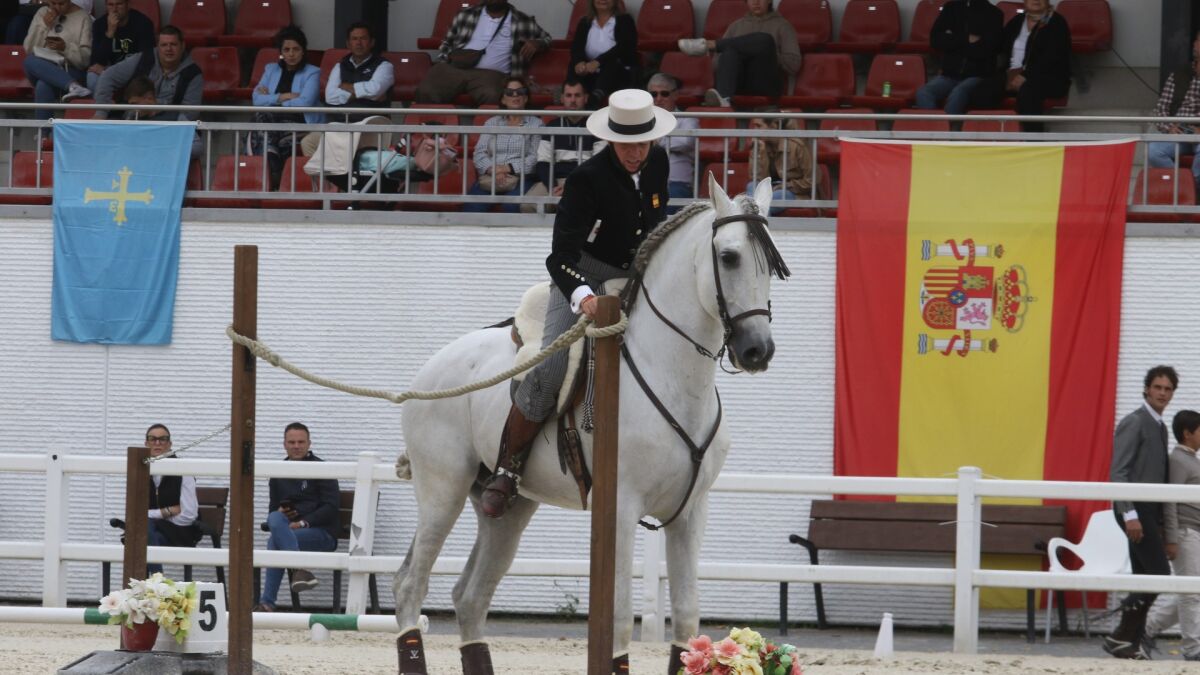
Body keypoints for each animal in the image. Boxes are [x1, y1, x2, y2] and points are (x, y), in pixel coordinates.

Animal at [393, 174, 790, 674]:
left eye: (771, 265)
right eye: (730, 257)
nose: (758, 350)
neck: (672, 375)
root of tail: (428, 373)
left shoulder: (690, 513)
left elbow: (686, 616)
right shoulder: (620, 508)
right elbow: (618, 620)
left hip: (506, 510)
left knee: (470, 597)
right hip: (441, 491)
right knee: (411, 586)